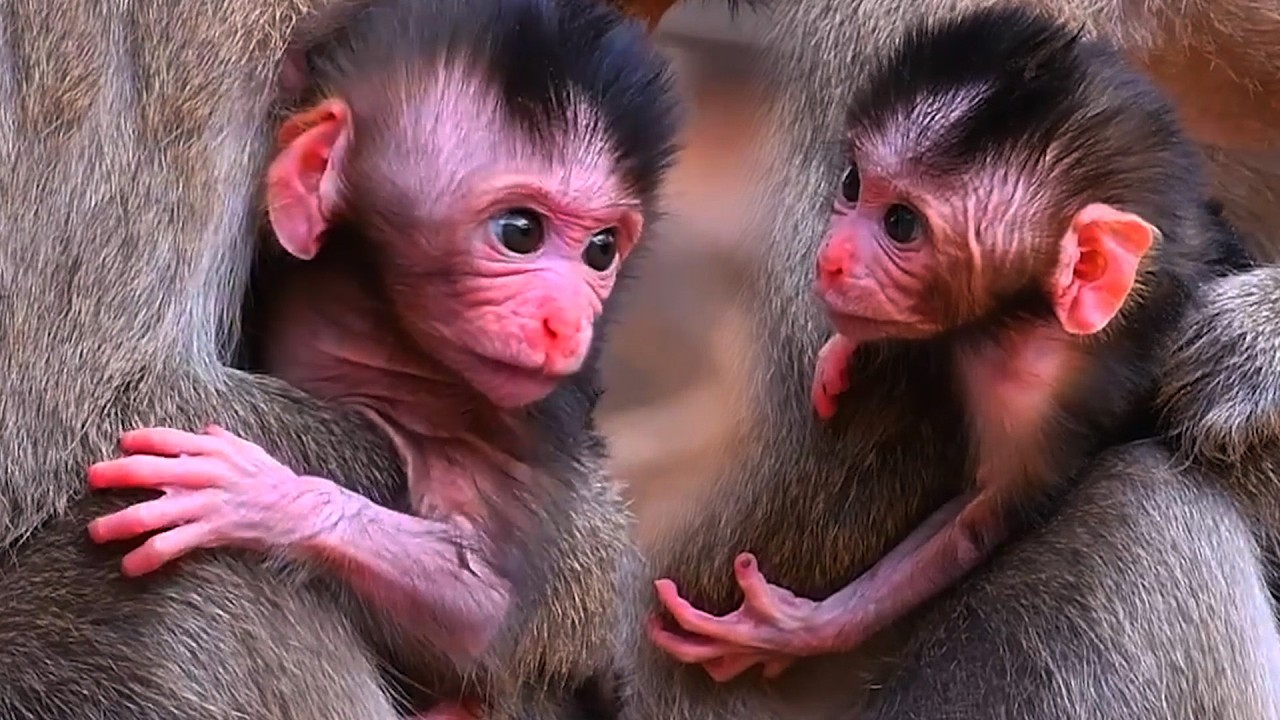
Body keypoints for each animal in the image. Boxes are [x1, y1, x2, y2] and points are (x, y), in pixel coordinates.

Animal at [0, 0, 669, 718]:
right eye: (519, 233)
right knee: (199, 588)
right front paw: (584, 583)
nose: (565, 327)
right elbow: (82, 410)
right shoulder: (188, 39)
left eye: (601, 250)